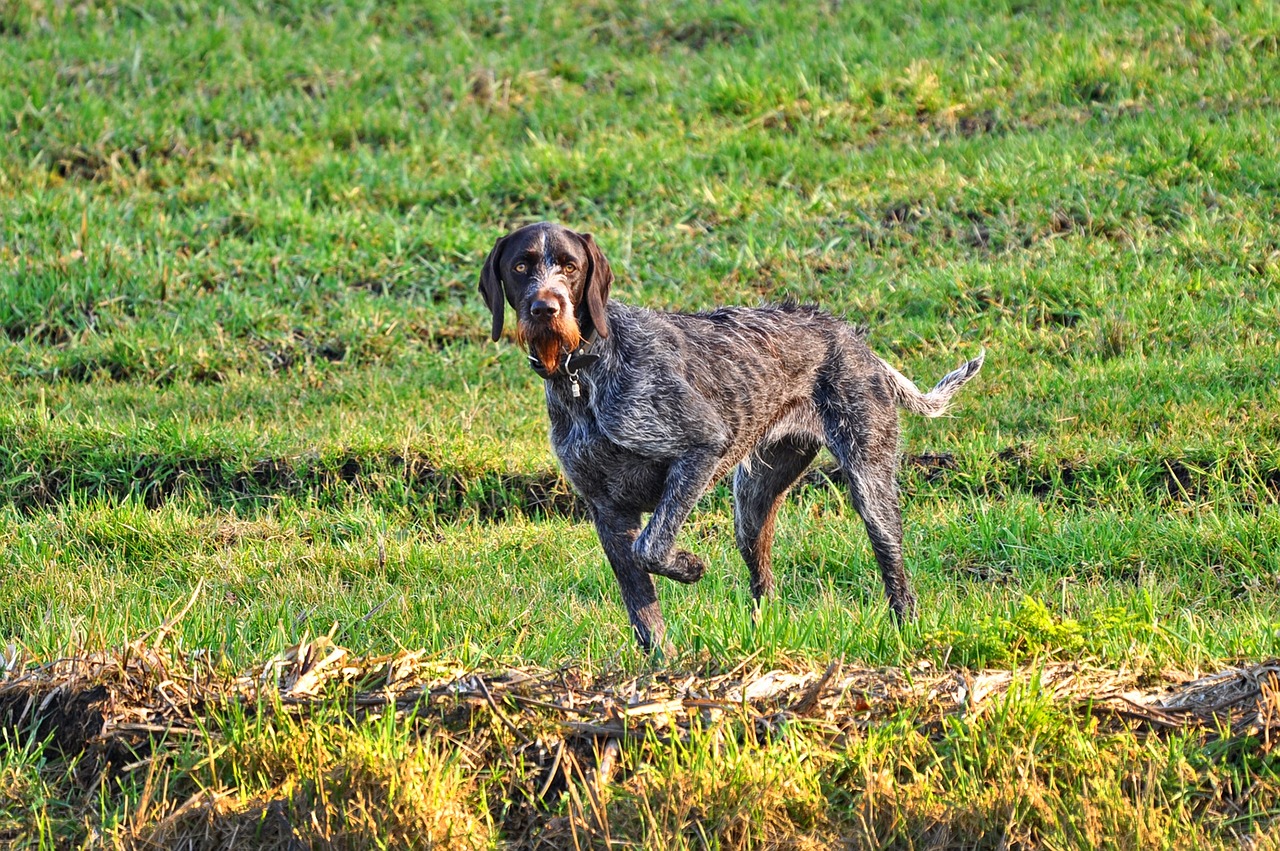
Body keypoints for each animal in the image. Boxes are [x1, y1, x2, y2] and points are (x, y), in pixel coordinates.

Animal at [476, 220, 983, 650]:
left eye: (570, 266)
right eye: (521, 266)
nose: (545, 307)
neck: (583, 375)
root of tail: (854, 339)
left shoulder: (700, 448)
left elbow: (652, 547)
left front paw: (689, 566)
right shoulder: (607, 512)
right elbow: (644, 610)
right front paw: (662, 672)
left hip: (869, 485)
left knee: (895, 574)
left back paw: (906, 632)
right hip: (752, 506)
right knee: (764, 585)